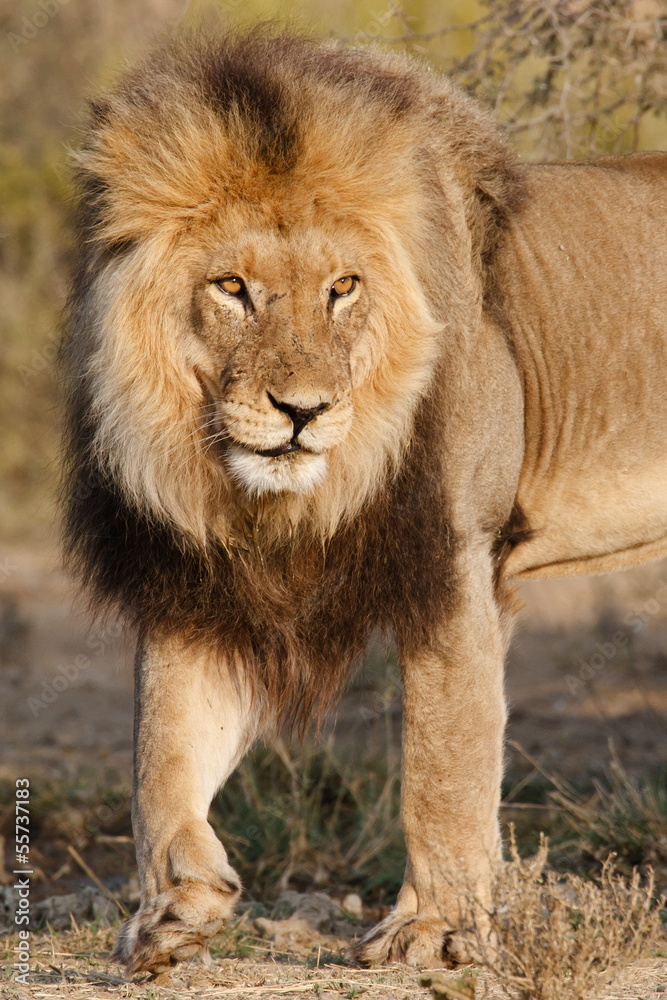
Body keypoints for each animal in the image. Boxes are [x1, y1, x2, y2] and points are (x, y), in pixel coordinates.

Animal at [60, 29, 667, 975]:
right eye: (231, 288)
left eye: (342, 287)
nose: (302, 411)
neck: (275, 504)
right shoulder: (201, 588)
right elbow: (160, 752)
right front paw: (173, 911)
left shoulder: (453, 562)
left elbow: (442, 765)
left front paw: (437, 930)